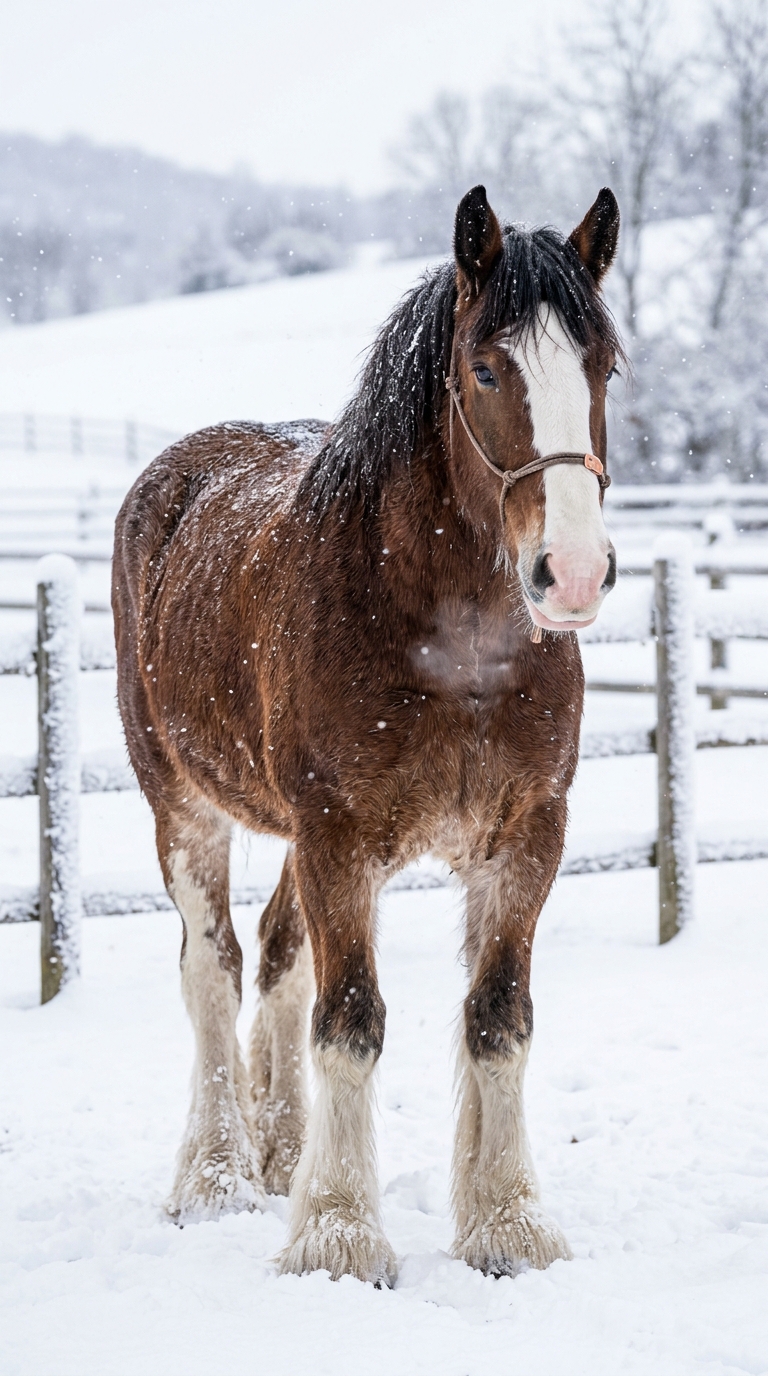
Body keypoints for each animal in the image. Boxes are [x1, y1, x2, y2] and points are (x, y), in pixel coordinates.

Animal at [113, 183, 623, 1284]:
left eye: (604, 366)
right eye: (486, 368)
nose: (573, 572)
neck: (454, 644)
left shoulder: (525, 837)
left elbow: (497, 1020)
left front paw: (506, 1222)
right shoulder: (339, 837)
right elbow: (349, 1022)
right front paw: (338, 1237)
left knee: (275, 953)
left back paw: (280, 1150)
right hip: (184, 807)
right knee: (214, 968)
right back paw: (214, 1176)